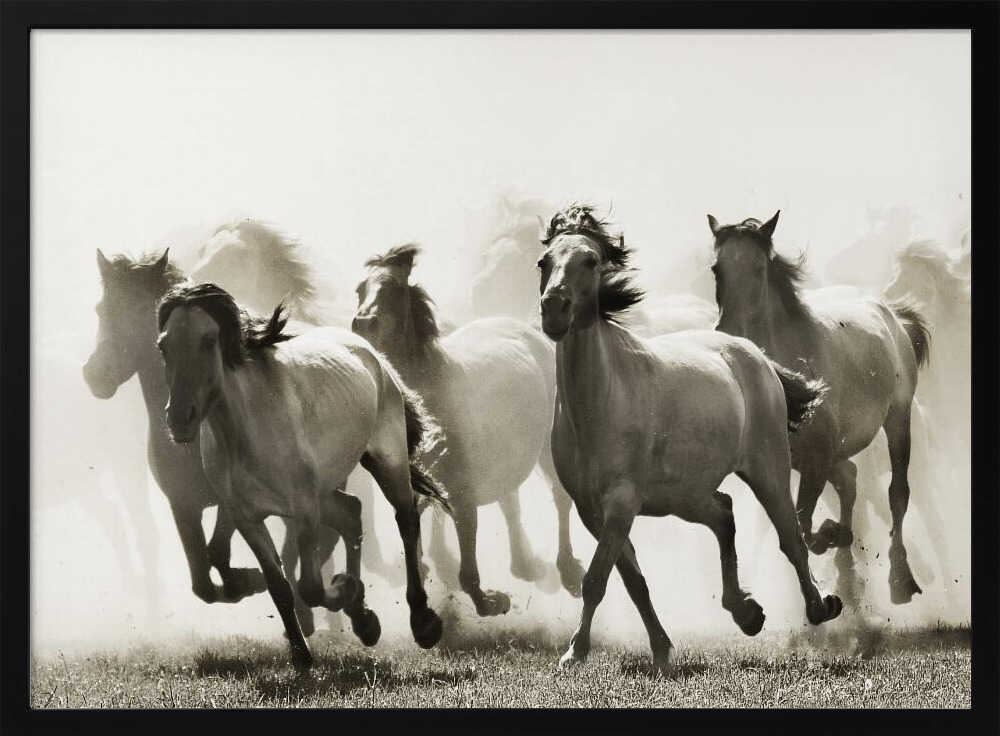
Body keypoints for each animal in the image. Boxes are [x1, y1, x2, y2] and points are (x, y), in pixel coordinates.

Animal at [156, 283, 448, 668]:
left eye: (208, 340)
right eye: (163, 345)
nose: (179, 419)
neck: (248, 432)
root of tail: (373, 354)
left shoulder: (304, 510)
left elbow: (308, 586)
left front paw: (343, 589)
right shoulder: (246, 517)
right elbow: (279, 585)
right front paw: (301, 653)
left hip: (388, 462)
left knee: (406, 520)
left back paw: (423, 622)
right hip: (326, 489)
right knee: (352, 513)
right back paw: (365, 622)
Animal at [352, 244, 586, 616]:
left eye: (392, 290)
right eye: (360, 290)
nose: (361, 324)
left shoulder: (462, 489)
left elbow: (466, 552)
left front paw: (488, 600)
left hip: (547, 450)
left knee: (560, 499)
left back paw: (567, 572)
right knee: (509, 501)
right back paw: (525, 565)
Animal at [537, 204, 842, 673]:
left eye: (590, 260)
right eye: (544, 262)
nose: (554, 309)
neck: (599, 403)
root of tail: (754, 353)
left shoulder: (620, 503)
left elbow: (596, 579)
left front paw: (574, 652)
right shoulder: (593, 512)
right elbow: (633, 581)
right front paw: (662, 650)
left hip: (767, 469)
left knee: (791, 538)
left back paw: (819, 606)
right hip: (685, 495)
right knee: (724, 513)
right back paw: (746, 612)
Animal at [708, 211, 931, 607]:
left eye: (758, 268)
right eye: (717, 269)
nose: (729, 332)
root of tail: (891, 314)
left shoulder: (817, 457)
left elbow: (804, 525)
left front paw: (830, 537)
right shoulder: (795, 461)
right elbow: (803, 523)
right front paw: (836, 539)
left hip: (898, 418)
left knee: (897, 493)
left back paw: (899, 579)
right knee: (850, 479)